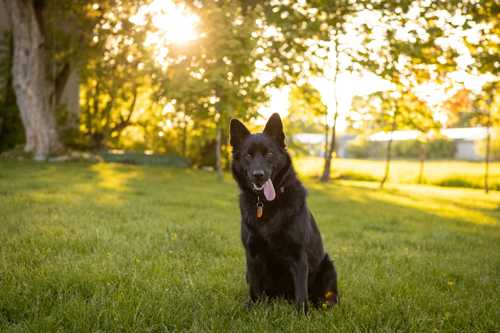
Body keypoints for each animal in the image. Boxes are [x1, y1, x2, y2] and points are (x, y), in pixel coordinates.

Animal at [230, 113, 340, 312]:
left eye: (269, 154)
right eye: (248, 155)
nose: (259, 175)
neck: (267, 204)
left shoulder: (298, 256)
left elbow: (301, 293)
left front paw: (302, 314)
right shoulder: (252, 255)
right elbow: (255, 289)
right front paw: (253, 308)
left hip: (328, 266)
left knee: (328, 296)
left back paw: (324, 305)